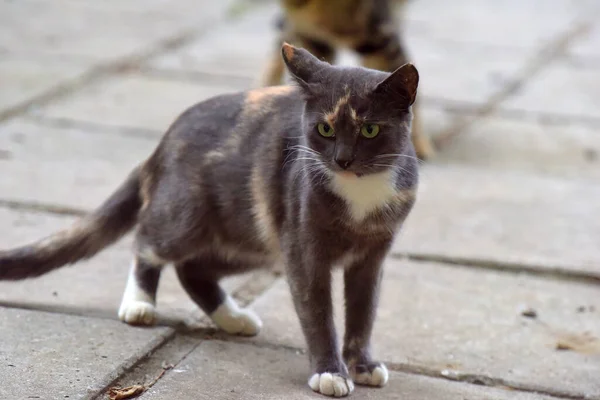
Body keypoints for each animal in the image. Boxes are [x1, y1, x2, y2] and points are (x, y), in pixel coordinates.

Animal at [0, 43, 420, 396]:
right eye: (325, 129)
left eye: (370, 129)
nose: (342, 160)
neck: (361, 196)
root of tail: (160, 145)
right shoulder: (303, 248)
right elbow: (316, 311)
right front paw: (329, 372)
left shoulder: (372, 256)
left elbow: (364, 312)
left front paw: (362, 364)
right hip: (185, 218)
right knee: (148, 243)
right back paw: (139, 304)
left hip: (253, 241)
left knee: (193, 269)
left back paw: (234, 317)